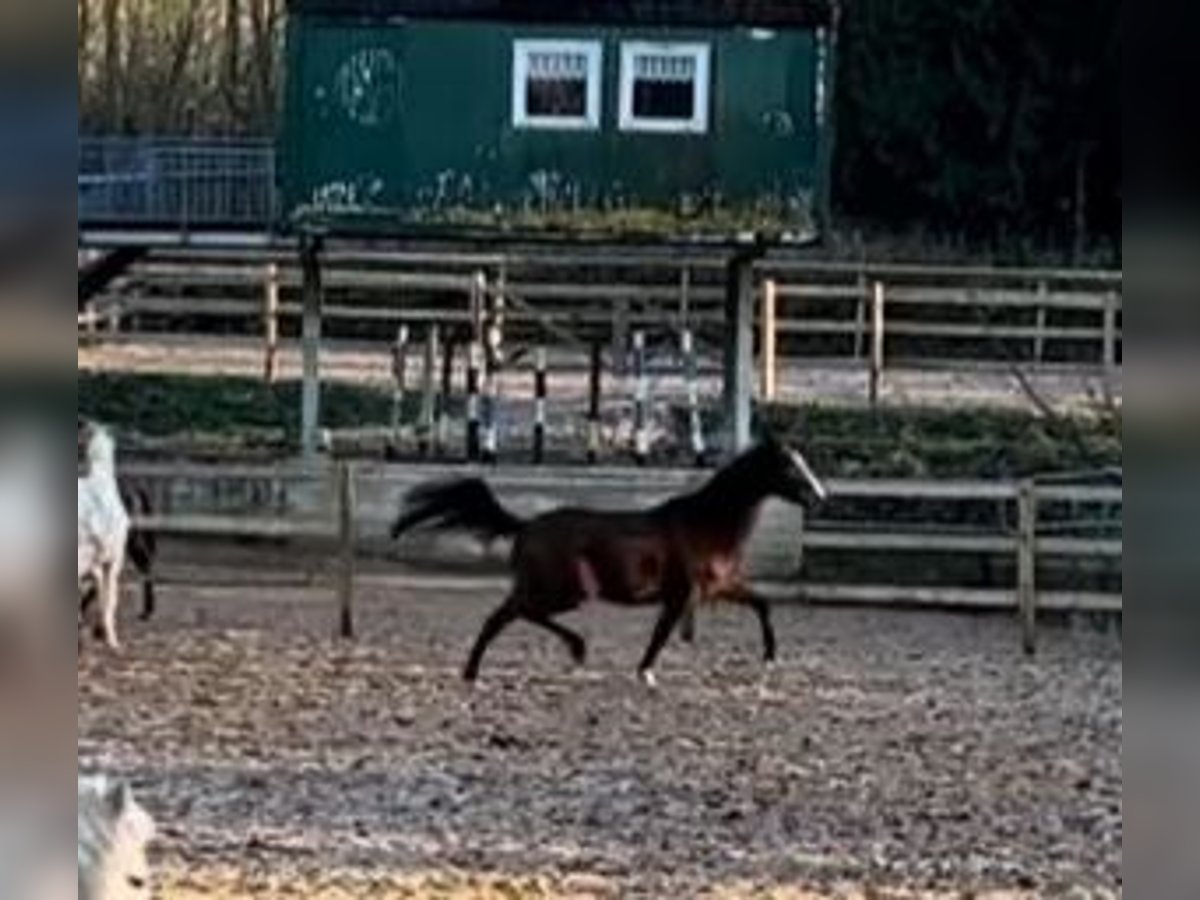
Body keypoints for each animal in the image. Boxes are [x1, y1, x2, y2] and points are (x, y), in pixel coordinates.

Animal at [391, 441, 825, 686]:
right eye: (790, 468)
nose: (819, 496)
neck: (708, 522)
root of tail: (526, 525)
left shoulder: (717, 586)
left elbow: (762, 604)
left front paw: (770, 658)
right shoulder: (682, 593)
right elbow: (660, 636)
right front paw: (646, 673)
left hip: (554, 590)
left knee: (506, 615)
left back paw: (475, 672)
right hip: (562, 591)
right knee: (509, 614)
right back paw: (570, 649)